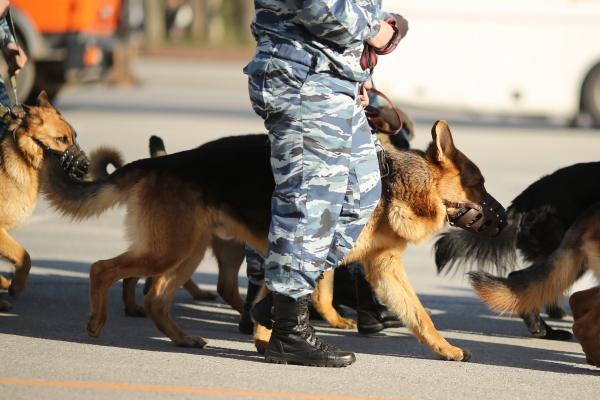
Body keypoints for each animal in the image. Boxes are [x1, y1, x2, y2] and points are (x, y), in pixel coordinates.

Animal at [41, 120, 492, 360]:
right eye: (479, 185)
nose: (502, 217)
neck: (398, 182)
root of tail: (160, 162)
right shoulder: (313, 251)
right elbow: (292, 295)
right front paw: (273, 338)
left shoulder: (381, 267)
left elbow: (419, 315)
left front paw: (445, 349)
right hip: (168, 251)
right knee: (103, 269)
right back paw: (97, 321)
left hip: (187, 252)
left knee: (155, 298)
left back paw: (182, 337)